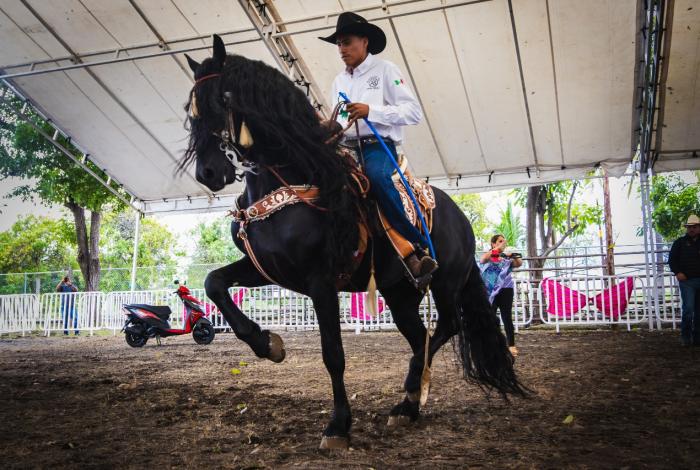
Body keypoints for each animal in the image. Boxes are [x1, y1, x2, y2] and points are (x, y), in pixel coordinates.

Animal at [180, 35, 527, 450]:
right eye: (190, 109)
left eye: (222, 99)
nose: (208, 172)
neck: (291, 181)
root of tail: (461, 219)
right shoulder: (268, 269)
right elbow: (213, 282)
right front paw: (268, 344)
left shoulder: (321, 281)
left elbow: (333, 353)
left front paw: (338, 426)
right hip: (399, 294)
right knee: (421, 337)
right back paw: (409, 402)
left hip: (445, 282)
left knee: (446, 326)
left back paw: (410, 396)